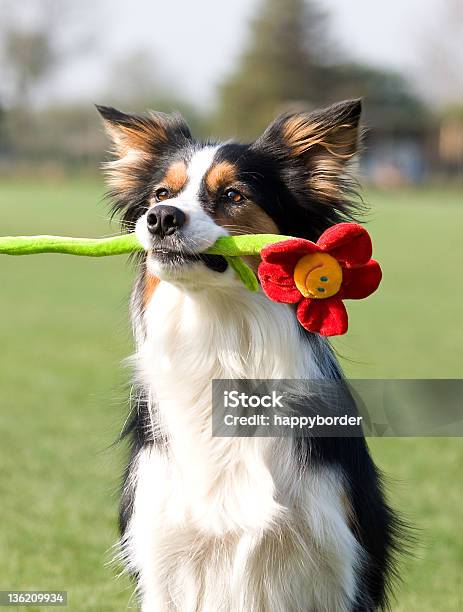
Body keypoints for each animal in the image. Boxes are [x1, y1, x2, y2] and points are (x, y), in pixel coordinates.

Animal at [97, 98, 402, 608]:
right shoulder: (163, 551)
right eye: (161, 193)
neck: (223, 341)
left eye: (233, 195)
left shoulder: (337, 560)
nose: (161, 217)